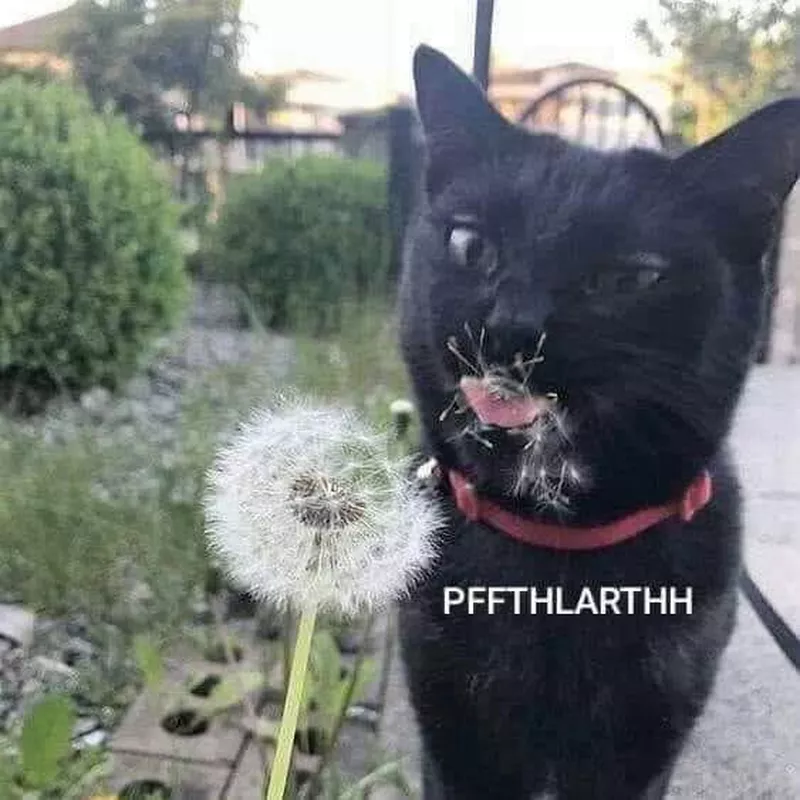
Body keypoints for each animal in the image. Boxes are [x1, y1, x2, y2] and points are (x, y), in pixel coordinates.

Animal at [396, 43, 800, 800]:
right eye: (469, 245)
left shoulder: (641, 753)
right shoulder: (454, 743)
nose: (512, 326)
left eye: (629, 279)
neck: (559, 560)